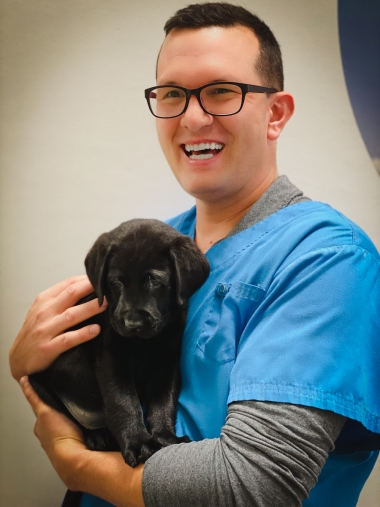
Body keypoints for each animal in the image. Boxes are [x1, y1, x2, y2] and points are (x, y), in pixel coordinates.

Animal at [29, 220, 209, 470]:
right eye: (115, 282)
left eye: (154, 281)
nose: (132, 323)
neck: (146, 343)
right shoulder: (111, 358)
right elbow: (123, 401)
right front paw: (138, 442)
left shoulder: (168, 360)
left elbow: (163, 400)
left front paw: (165, 436)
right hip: (37, 381)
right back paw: (97, 437)